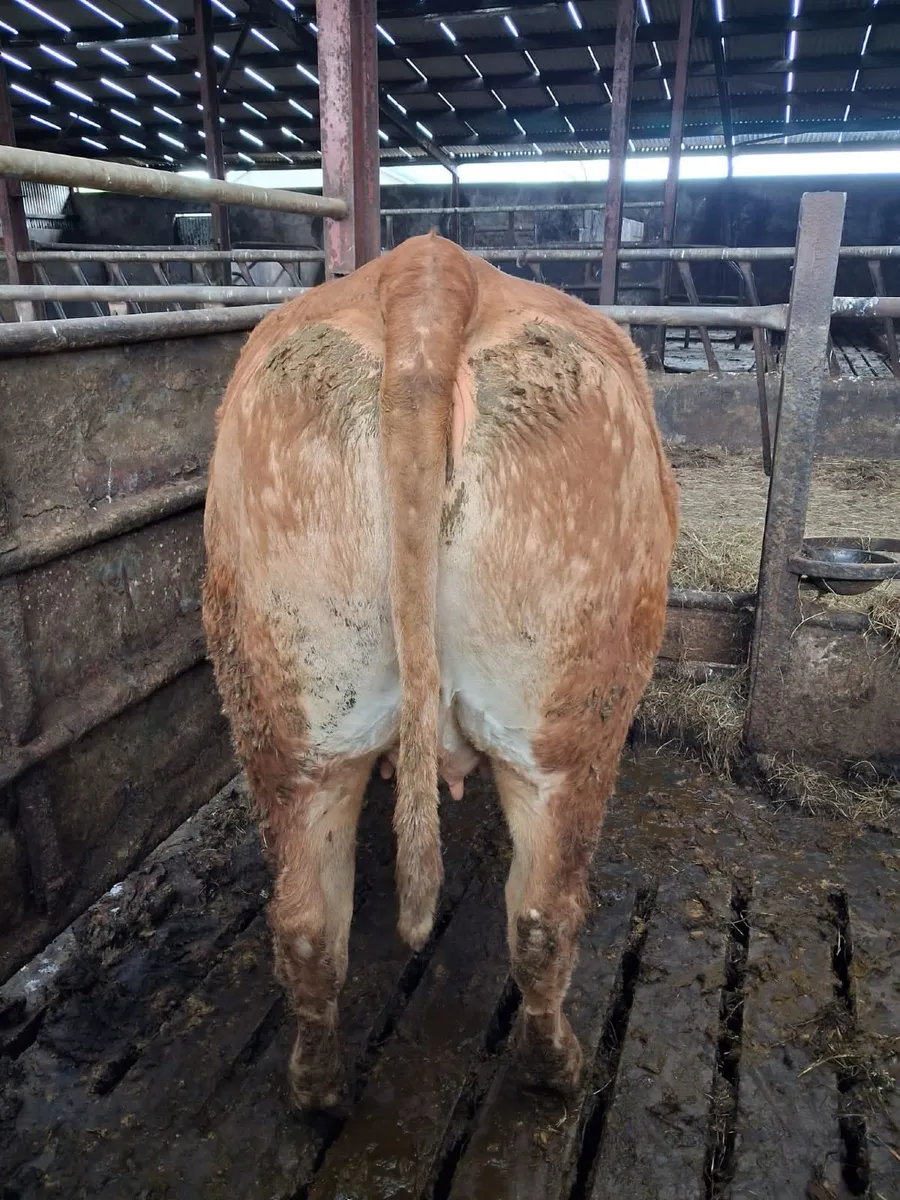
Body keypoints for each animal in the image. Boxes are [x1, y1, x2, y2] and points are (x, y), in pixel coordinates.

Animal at [202, 232, 678, 1109]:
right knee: (542, 916)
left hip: (290, 715)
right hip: (571, 727)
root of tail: (428, 277)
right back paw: (557, 1067)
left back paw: (316, 1084)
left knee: (308, 923)